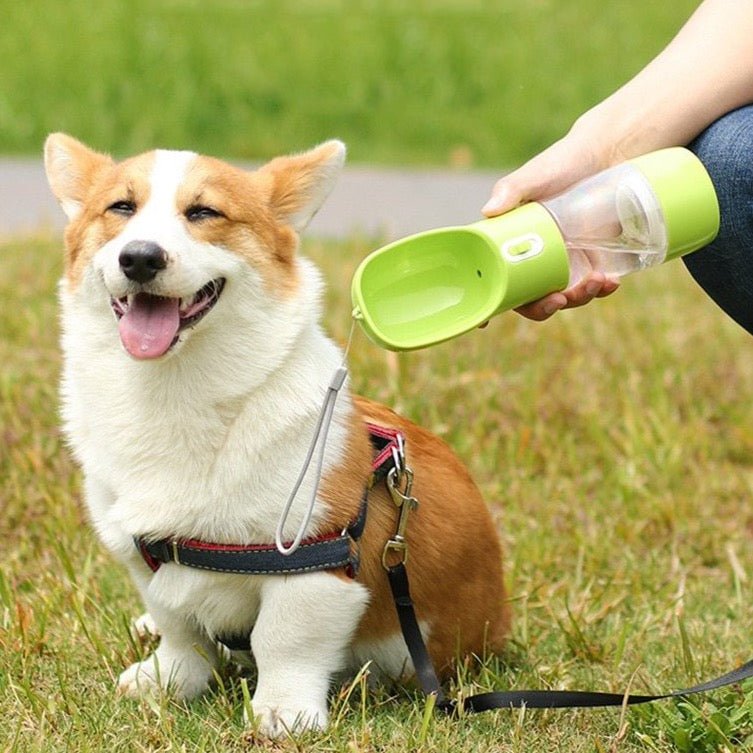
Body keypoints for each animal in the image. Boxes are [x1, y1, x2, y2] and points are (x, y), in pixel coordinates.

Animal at [44, 134, 508, 736]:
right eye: (121, 207)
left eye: (204, 212)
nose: (140, 257)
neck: (175, 393)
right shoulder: (144, 556)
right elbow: (180, 628)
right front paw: (168, 680)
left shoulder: (313, 563)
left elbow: (283, 640)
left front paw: (283, 714)